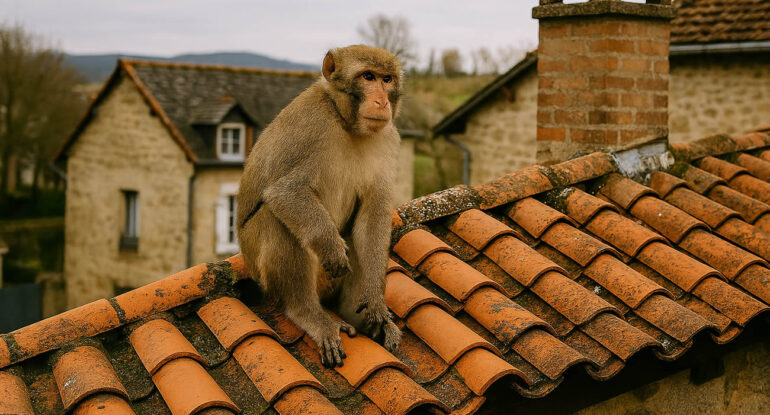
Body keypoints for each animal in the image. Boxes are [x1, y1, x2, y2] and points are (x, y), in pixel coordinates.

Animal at [236, 45, 402, 367]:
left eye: (386, 79)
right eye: (368, 77)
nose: (381, 101)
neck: (345, 122)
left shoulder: (388, 137)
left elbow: (371, 218)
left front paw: (376, 301)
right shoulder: (311, 126)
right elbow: (285, 191)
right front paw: (331, 246)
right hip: (263, 268)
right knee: (277, 220)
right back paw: (308, 314)